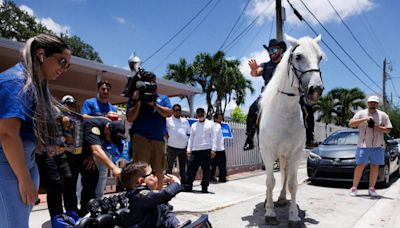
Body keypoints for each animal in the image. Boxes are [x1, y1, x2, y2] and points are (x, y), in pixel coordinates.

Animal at [258, 34, 324, 225]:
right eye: (298, 56)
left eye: (320, 57)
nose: (316, 90)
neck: (284, 112)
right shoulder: (268, 152)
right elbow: (270, 181)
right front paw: (270, 213)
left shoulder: (295, 152)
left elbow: (292, 184)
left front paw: (294, 216)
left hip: (285, 155)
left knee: (286, 174)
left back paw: (281, 198)